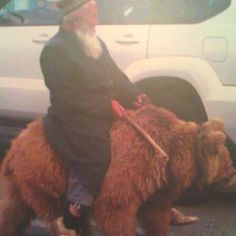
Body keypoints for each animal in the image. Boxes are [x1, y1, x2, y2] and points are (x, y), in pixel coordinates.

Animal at [0, 105, 234, 236]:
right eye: (229, 165)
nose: (234, 176)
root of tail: (15, 144)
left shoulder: (155, 186)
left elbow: (155, 215)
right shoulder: (132, 169)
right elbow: (115, 208)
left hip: (23, 181)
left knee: (12, 211)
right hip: (47, 175)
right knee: (56, 215)